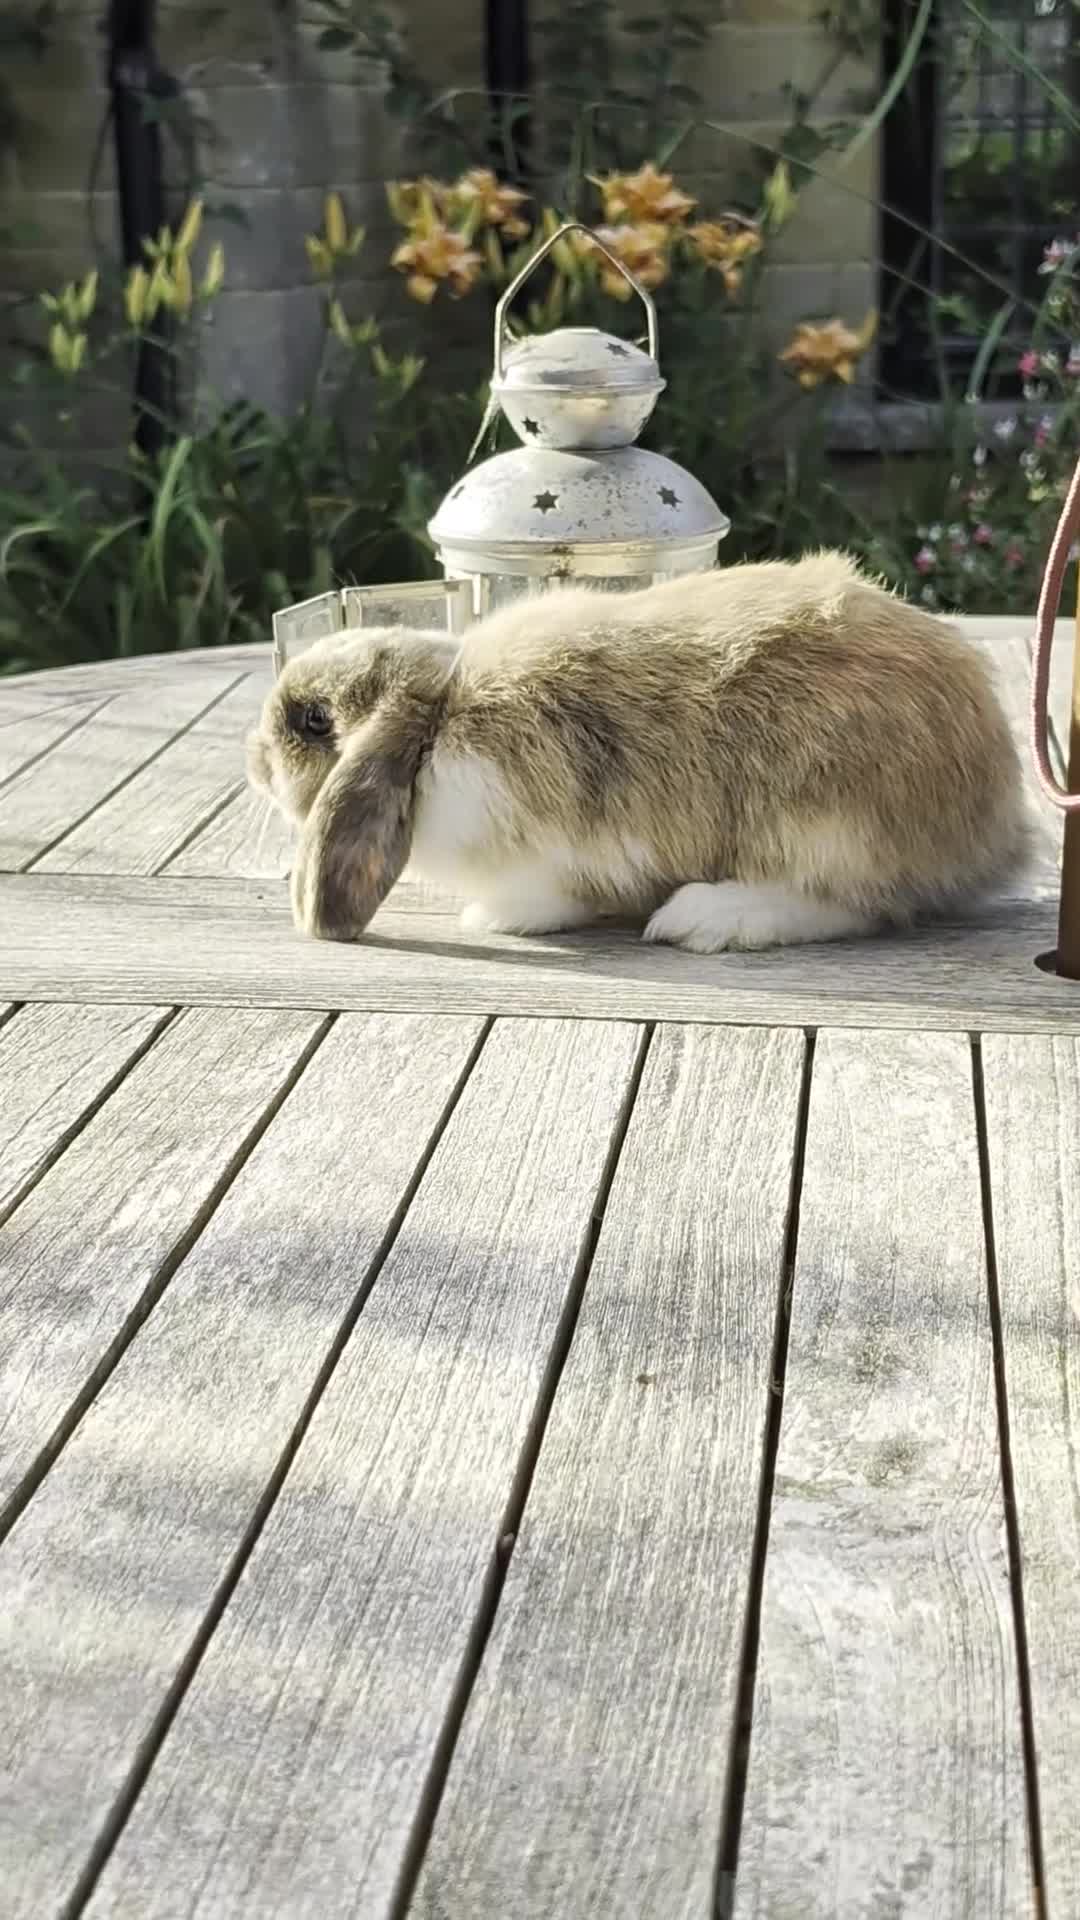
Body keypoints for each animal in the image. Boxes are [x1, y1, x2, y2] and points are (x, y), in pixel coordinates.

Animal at [246, 552, 1028, 952]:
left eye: (314, 720)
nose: (253, 759)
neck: (440, 714)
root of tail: (997, 825)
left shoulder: (546, 849)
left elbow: (552, 893)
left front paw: (491, 919)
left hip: (824, 823)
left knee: (858, 905)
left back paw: (706, 919)